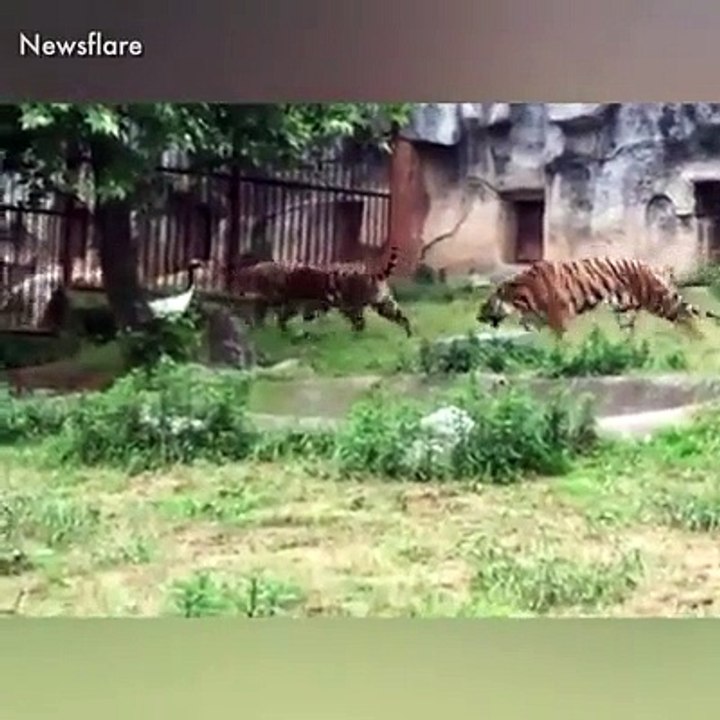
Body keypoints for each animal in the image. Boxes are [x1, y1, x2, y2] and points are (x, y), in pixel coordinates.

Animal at [476, 257, 720, 337]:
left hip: (656, 300)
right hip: (625, 310)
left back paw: (698, 342)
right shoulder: (539, 317)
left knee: (684, 316)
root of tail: (654, 267)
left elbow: (559, 339)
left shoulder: (558, 314)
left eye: (486, 305)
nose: (478, 318)